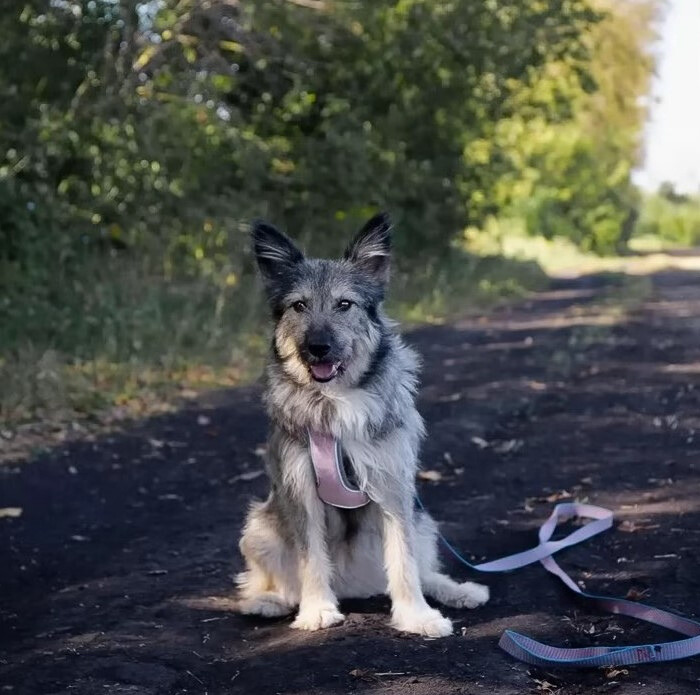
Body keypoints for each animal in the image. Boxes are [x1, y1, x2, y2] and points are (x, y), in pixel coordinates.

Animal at [235, 213, 486, 636]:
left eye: (344, 304)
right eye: (299, 305)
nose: (317, 348)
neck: (333, 401)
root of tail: (355, 583)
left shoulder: (392, 484)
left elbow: (404, 560)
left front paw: (416, 615)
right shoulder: (299, 488)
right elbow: (310, 557)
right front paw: (317, 609)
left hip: (424, 522)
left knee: (424, 569)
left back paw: (459, 590)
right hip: (259, 527)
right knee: (276, 580)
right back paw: (268, 601)